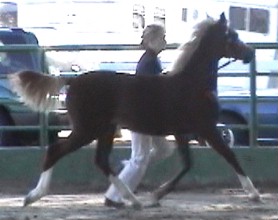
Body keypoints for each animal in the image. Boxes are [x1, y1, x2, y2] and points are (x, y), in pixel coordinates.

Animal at [8, 12, 260, 207]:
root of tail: (72, 80)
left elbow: (187, 164)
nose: (249, 54)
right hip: (87, 129)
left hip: (105, 130)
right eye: (231, 36)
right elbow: (229, 156)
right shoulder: (206, 128)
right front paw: (254, 194)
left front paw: (155, 195)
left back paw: (131, 199)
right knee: (55, 150)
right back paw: (33, 196)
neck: (193, 84)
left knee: (101, 160)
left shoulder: (182, 132)